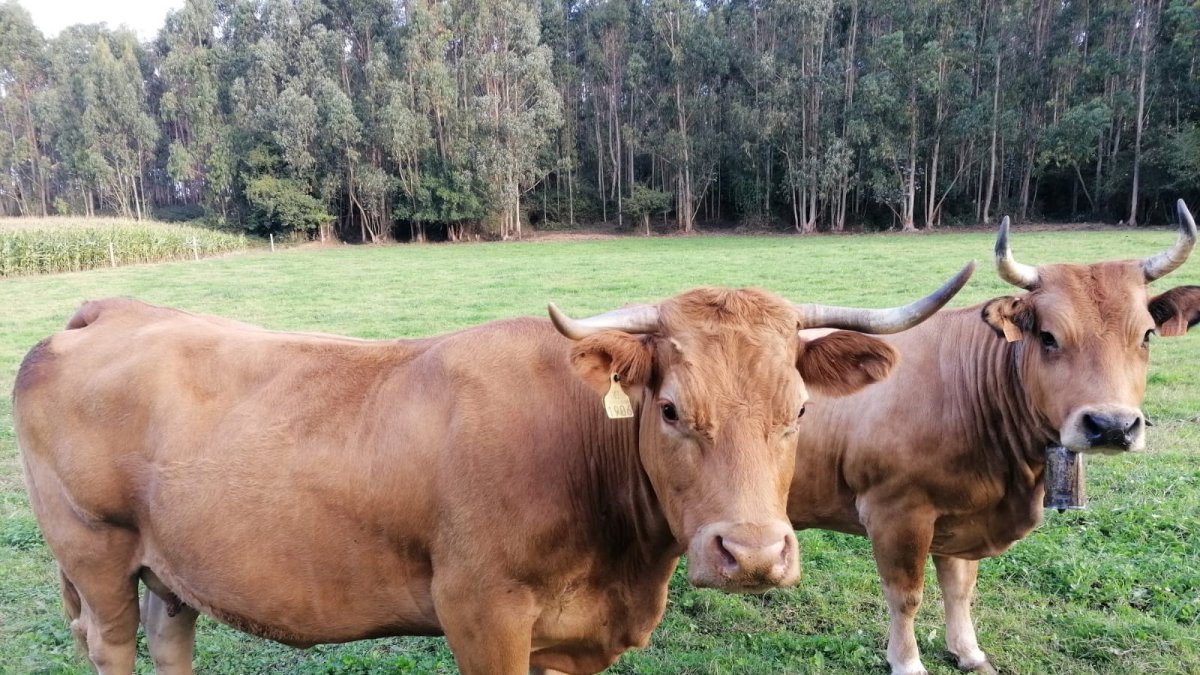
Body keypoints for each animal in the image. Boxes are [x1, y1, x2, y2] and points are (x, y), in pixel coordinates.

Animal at [13, 269, 973, 675]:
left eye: (800, 411)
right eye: (670, 409)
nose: (754, 555)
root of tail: (112, 308)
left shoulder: (577, 642)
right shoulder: (481, 613)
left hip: (171, 569)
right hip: (93, 558)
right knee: (113, 646)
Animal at [788, 199, 1200, 675]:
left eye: (1147, 334)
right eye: (1048, 336)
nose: (1111, 425)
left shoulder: (960, 515)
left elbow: (960, 587)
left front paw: (968, 651)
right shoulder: (895, 512)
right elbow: (906, 596)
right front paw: (907, 661)